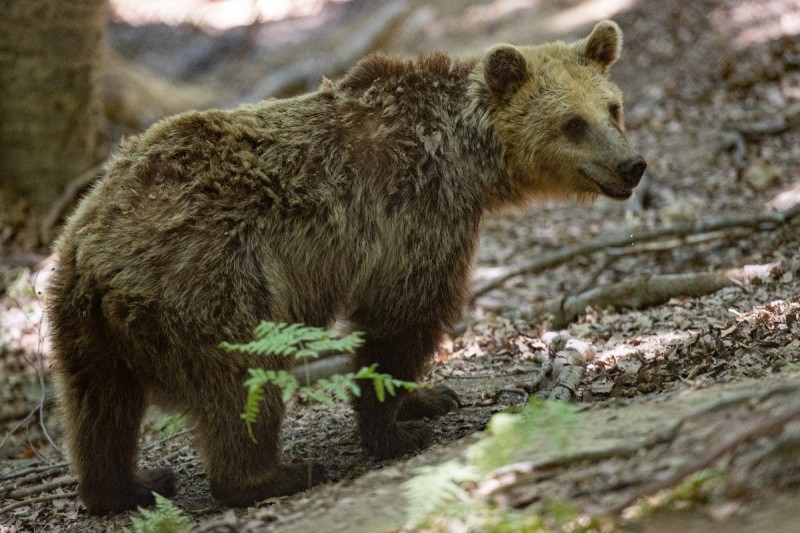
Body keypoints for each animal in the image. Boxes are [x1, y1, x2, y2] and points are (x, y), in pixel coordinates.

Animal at [47, 18, 644, 512]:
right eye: (572, 123)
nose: (631, 165)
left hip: (78, 319)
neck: (468, 157)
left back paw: (128, 486)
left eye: (612, 108)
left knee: (98, 406)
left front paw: (428, 397)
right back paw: (275, 475)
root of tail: (95, 251)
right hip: (210, 278)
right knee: (239, 381)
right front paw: (396, 429)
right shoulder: (415, 216)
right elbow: (402, 319)